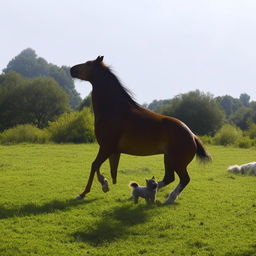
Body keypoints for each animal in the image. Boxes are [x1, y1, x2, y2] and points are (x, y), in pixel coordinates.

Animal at [69, 56, 210, 204]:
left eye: (88, 64)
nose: (71, 69)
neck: (114, 109)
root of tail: (192, 136)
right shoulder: (109, 149)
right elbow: (97, 167)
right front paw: (105, 184)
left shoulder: (106, 147)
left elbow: (94, 165)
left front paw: (83, 193)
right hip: (168, 158)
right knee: (169, 177)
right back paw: (151, 190)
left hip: (177, 162)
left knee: (184, 179)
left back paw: (169, 198)